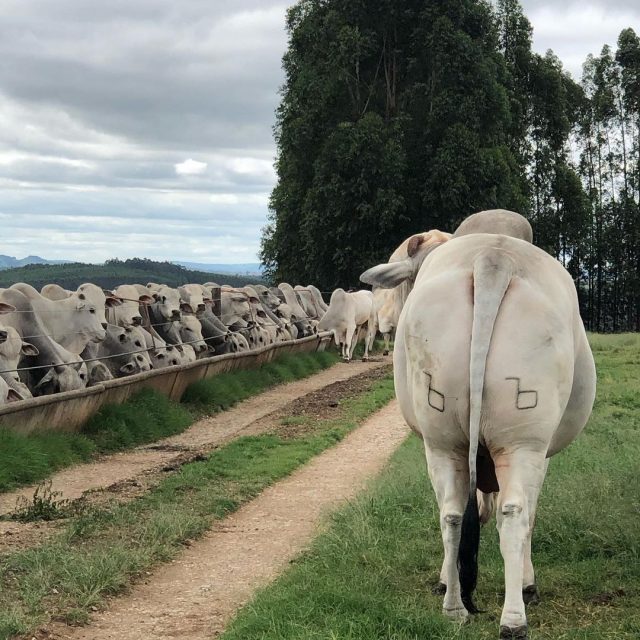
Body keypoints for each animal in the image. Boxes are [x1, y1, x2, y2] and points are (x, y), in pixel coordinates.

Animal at [362, 211, 596, 640]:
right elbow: (522, 516)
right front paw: (526, 582)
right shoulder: (542, 454)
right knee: (515, 513)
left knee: (452, 513)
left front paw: (447, 580)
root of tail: (492, 257)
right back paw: (513, 619)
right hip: (523, 442)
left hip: (442, 441)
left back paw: (455, 606)